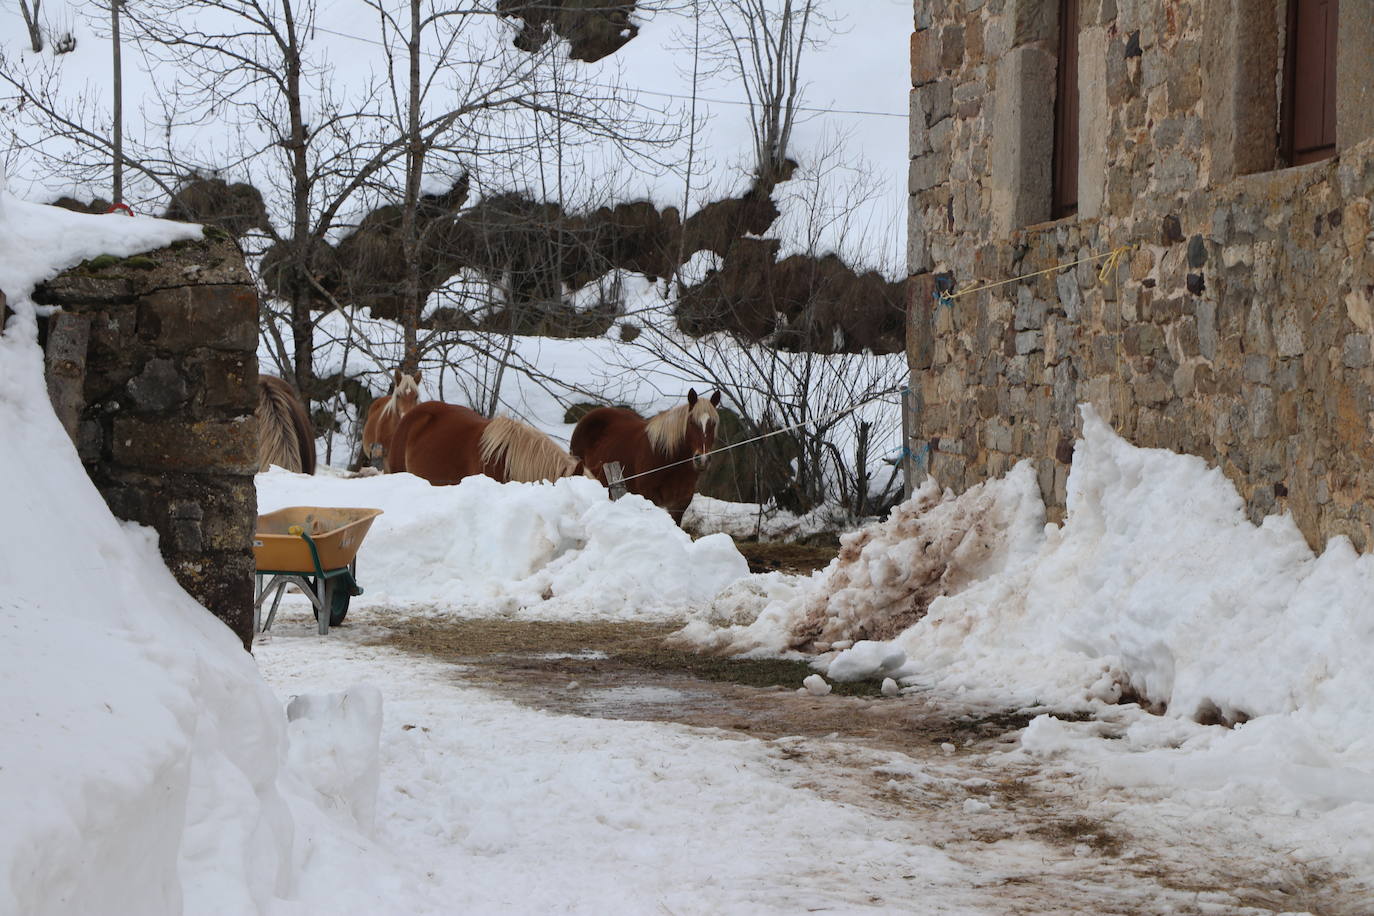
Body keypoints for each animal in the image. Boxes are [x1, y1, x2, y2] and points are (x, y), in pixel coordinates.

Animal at [568, 390, 725, 527]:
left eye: (713, 424)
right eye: (691, 422)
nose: (702, 459)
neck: (670, 461)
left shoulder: (680, 503)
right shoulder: (649, 497)